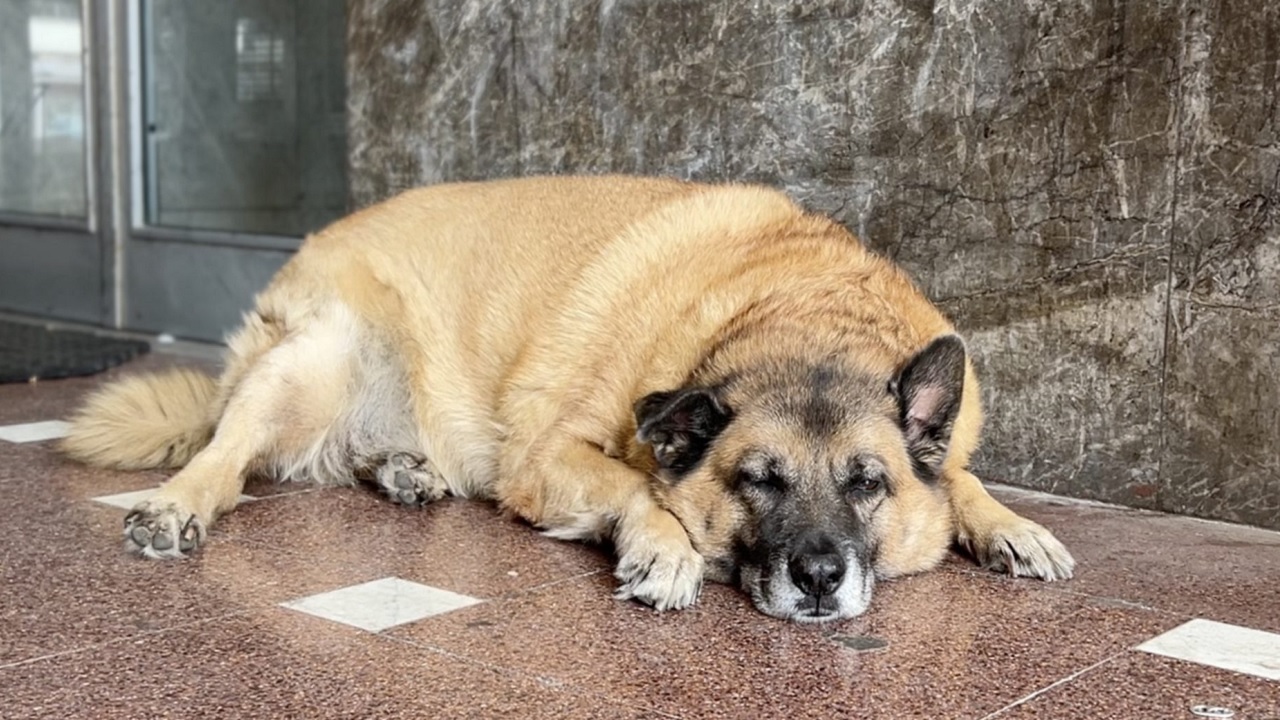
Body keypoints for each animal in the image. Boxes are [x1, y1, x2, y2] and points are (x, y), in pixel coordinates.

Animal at [64, 174, 1075, 617]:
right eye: (759, 480)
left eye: (869, 483)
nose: (820, 577)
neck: (794, 312)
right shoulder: (550, 455)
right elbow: (637, 488)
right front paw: (663, 549)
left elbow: (966, 482)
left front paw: (1011, 525)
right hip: (314, 362)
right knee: (229, 451)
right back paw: (176, 504)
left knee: (347, 454)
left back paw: (403, 469)